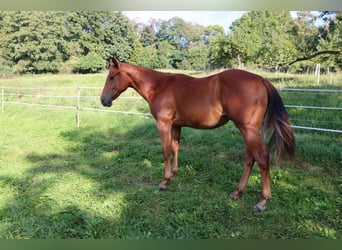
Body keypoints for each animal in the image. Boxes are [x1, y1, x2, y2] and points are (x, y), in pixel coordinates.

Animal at [101, 57, 294, 211]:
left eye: (111, 77)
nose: (103, 100)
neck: (159, 86)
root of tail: (260, 79)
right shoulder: (176, 125)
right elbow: (175, 147)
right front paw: (174, 173)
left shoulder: (164, 124)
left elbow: (165, 150)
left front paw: (164, 181)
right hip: (247, 131)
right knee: (250, 158)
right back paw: (237, 192)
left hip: (248, 130)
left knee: (261, 157)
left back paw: (262, 200)